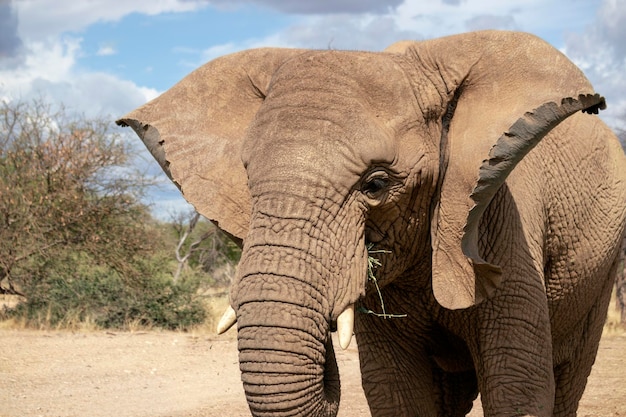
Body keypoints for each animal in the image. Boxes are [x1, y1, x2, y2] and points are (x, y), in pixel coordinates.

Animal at [118, 30, 624, 416]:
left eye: (376, 184)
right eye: (247, 178)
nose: (326, 368)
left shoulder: (501, 223)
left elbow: (517, 387)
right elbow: (398, 393)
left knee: (567, 374)